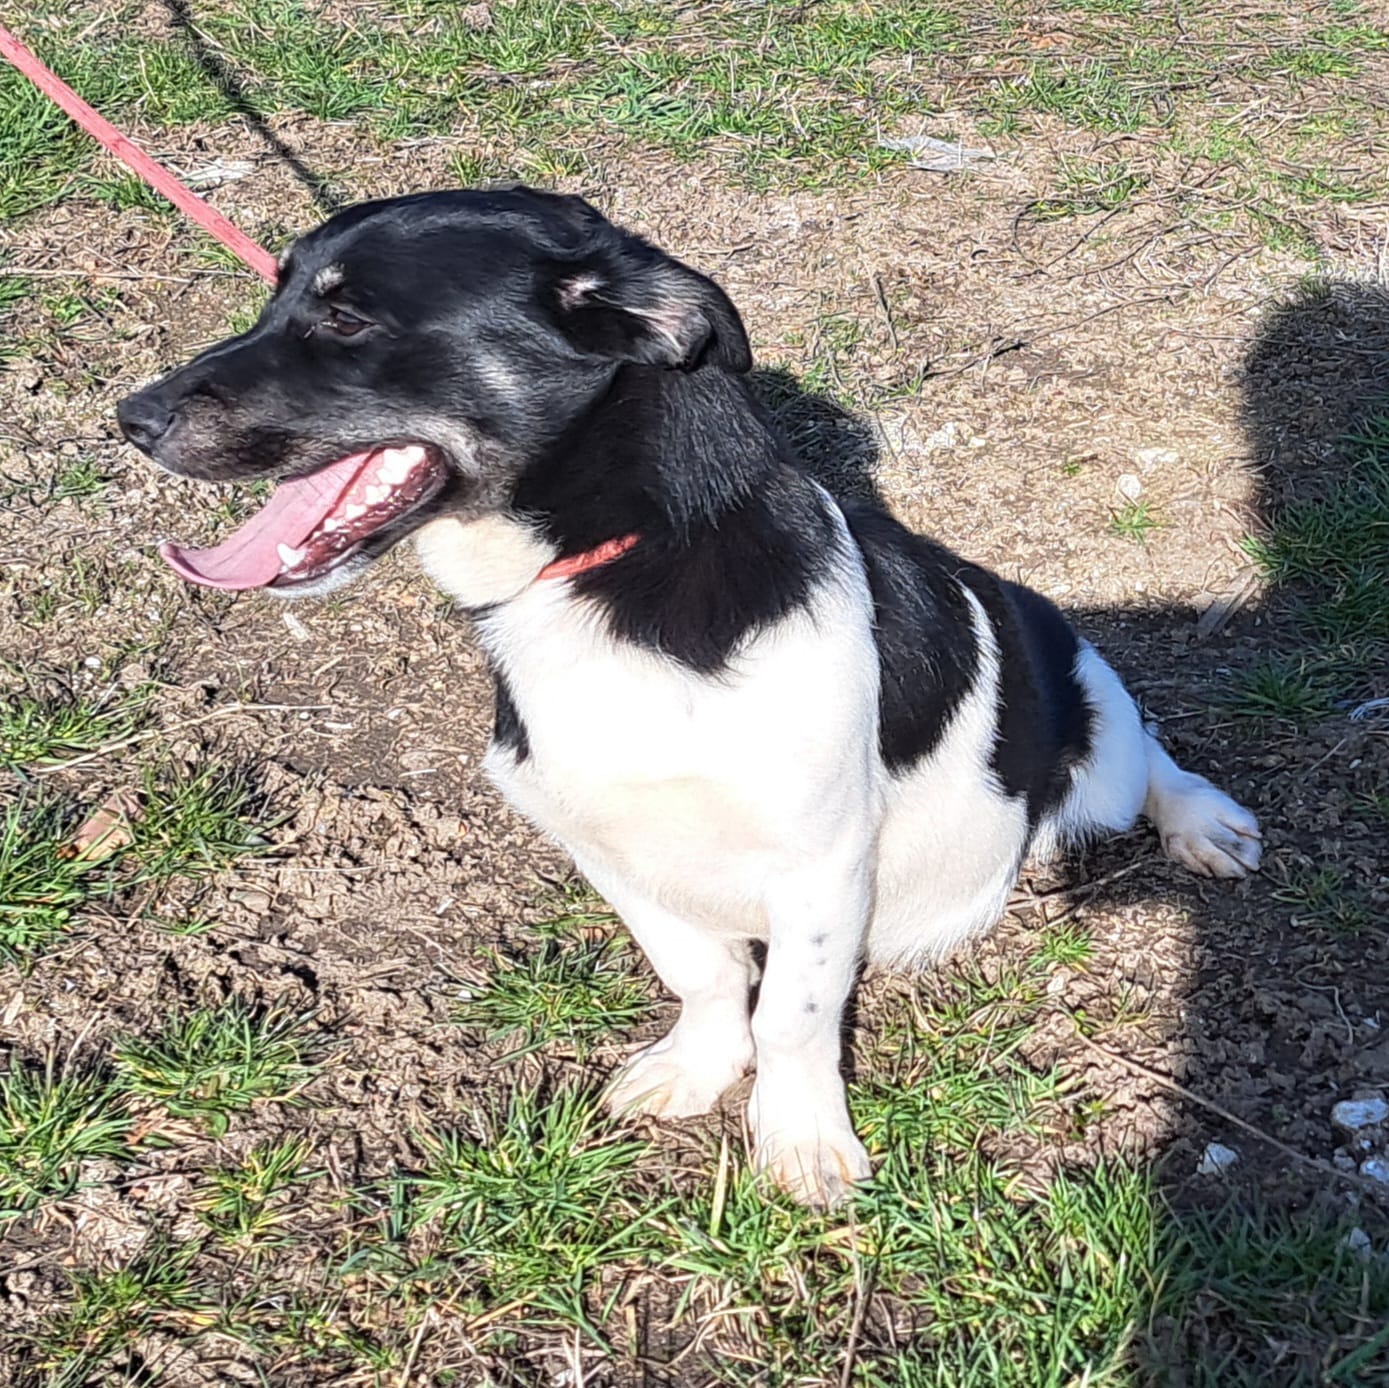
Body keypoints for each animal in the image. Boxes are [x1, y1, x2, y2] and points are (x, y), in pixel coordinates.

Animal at [117, 186, 1262, 1207]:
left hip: (1093, 762)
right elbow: (704, 978)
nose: (130, 416)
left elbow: (792, 1015)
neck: (610, 568)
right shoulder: (610, 849)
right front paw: (699, 1069)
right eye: (275, 296)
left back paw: (1204, 821)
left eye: (346, 316)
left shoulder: (819, 863)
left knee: (1147, 752)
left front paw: (800, 1139)